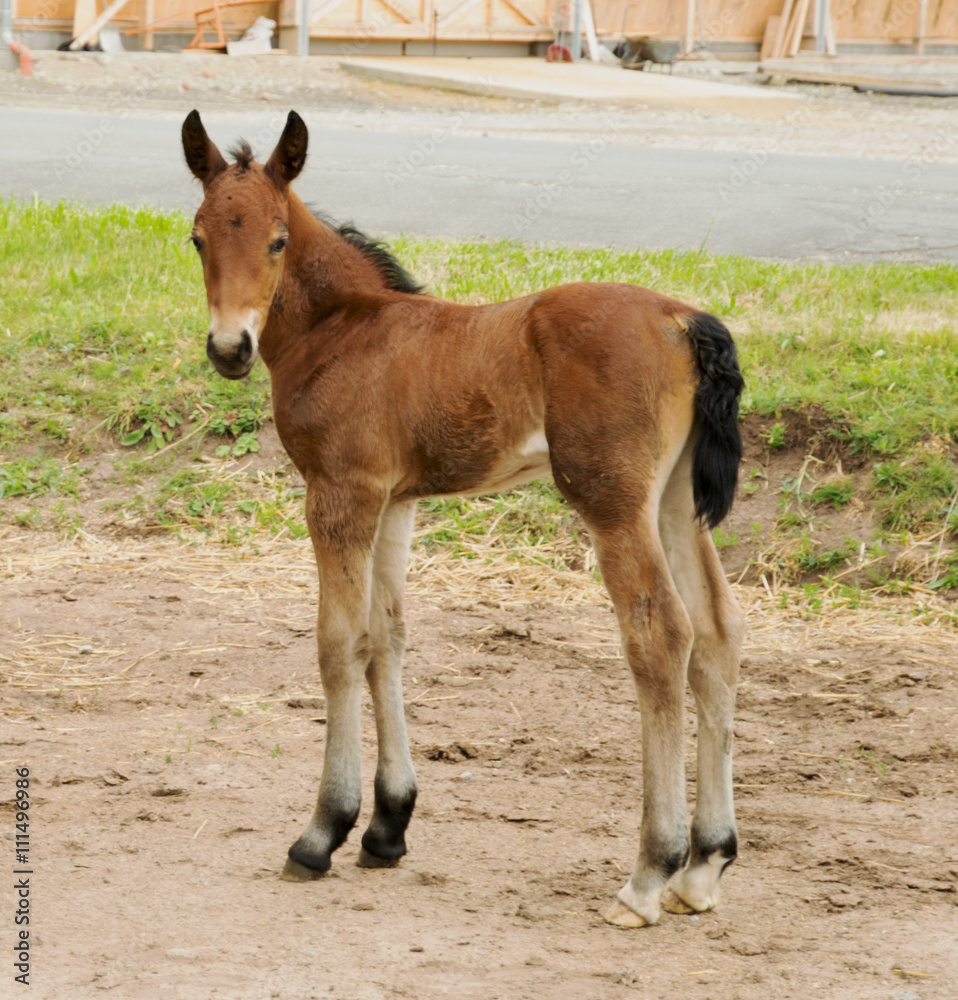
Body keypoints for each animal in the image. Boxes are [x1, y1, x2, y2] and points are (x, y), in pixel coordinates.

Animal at [182, 109, 752, 928]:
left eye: (277, 241)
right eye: (198, 237)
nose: (230, 348)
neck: (344, 330)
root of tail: (683, 319)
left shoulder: (339, 493)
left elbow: (337, 644)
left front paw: (322, 832)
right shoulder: (394, 501)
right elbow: (386, 637)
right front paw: (387, 825)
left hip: (613, 500)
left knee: (661, 635)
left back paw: (650, 873)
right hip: (675, 498)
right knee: (718, 631)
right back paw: (704, 867)